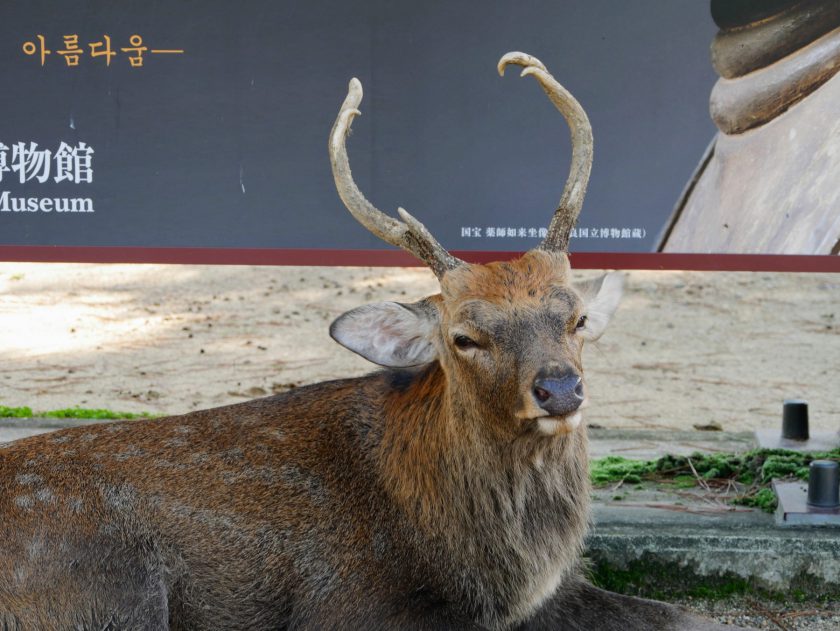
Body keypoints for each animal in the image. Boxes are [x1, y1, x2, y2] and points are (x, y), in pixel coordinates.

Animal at [1, 54, 756, 631]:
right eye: (464, 336)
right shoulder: (349, 603)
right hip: (110, 586)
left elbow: (692, 616)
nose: (560, 388)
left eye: (574, 319)